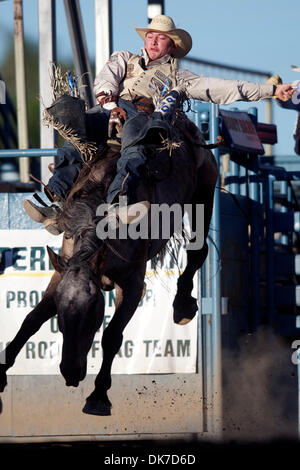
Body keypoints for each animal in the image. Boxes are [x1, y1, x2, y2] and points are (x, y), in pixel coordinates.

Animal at [0, 110, 217, 414]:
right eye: (61, 311)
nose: (70, 372)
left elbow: (112, 335)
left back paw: (183, 306)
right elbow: (32, 319)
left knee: (198, 251)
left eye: (93, 309)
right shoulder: (61, 272)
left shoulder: (132, 284)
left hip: (204, 192)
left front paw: (98, 395)